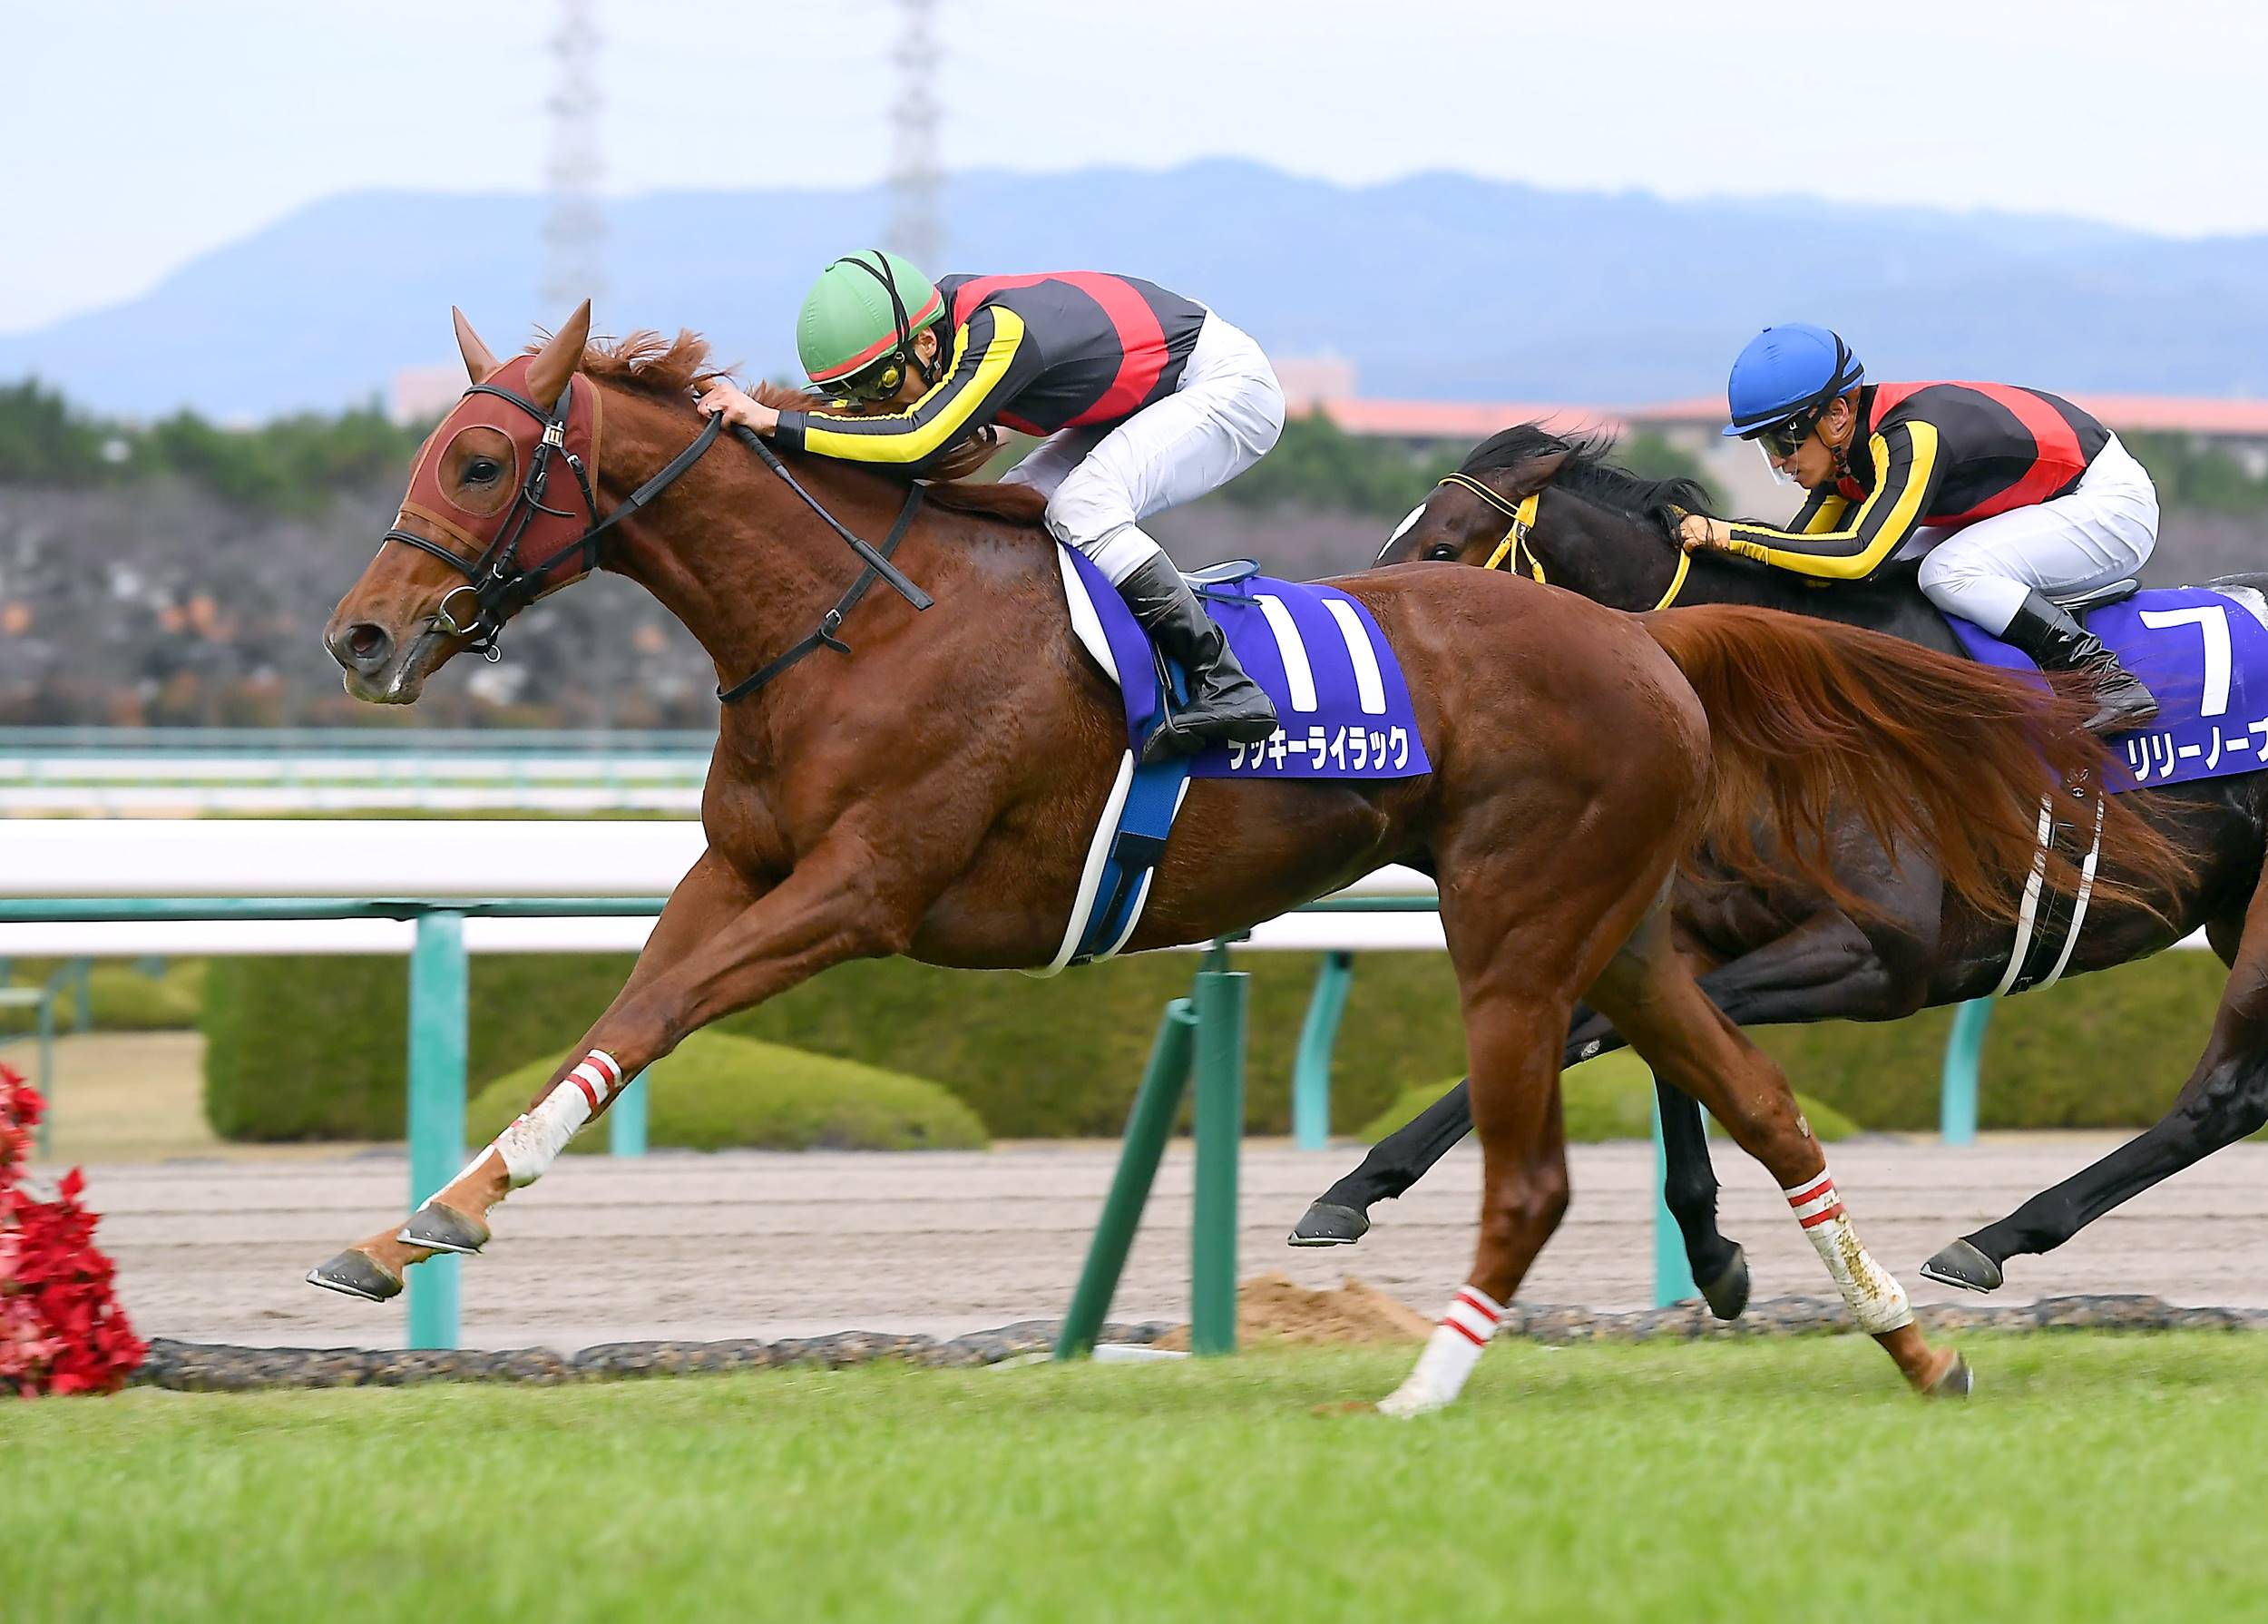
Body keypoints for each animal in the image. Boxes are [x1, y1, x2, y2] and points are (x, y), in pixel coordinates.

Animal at [306, 304, 2159, 1406]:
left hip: (1522, 919)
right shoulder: (737, 876)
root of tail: (1652, 642)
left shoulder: (860, 895)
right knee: (1761, 1104)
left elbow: (661, 1019)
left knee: (1572, 1145)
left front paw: (432, 1226)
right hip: (1625, 924)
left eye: (483, 455)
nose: (363, 637)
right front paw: (407, 1233)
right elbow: (619, 1025)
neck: (856, 623)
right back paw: (1910, 1342)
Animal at [1306, 422, 2259, 1306]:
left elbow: (1610, 1030)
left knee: (2221, 1095)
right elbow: (1657, 1043)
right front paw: (1711, 1252)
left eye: (1441, 548)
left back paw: (1992, 1237)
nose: (1366, 645)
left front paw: (1355, 1187)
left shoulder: (1882, 952)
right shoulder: (1697, 935)